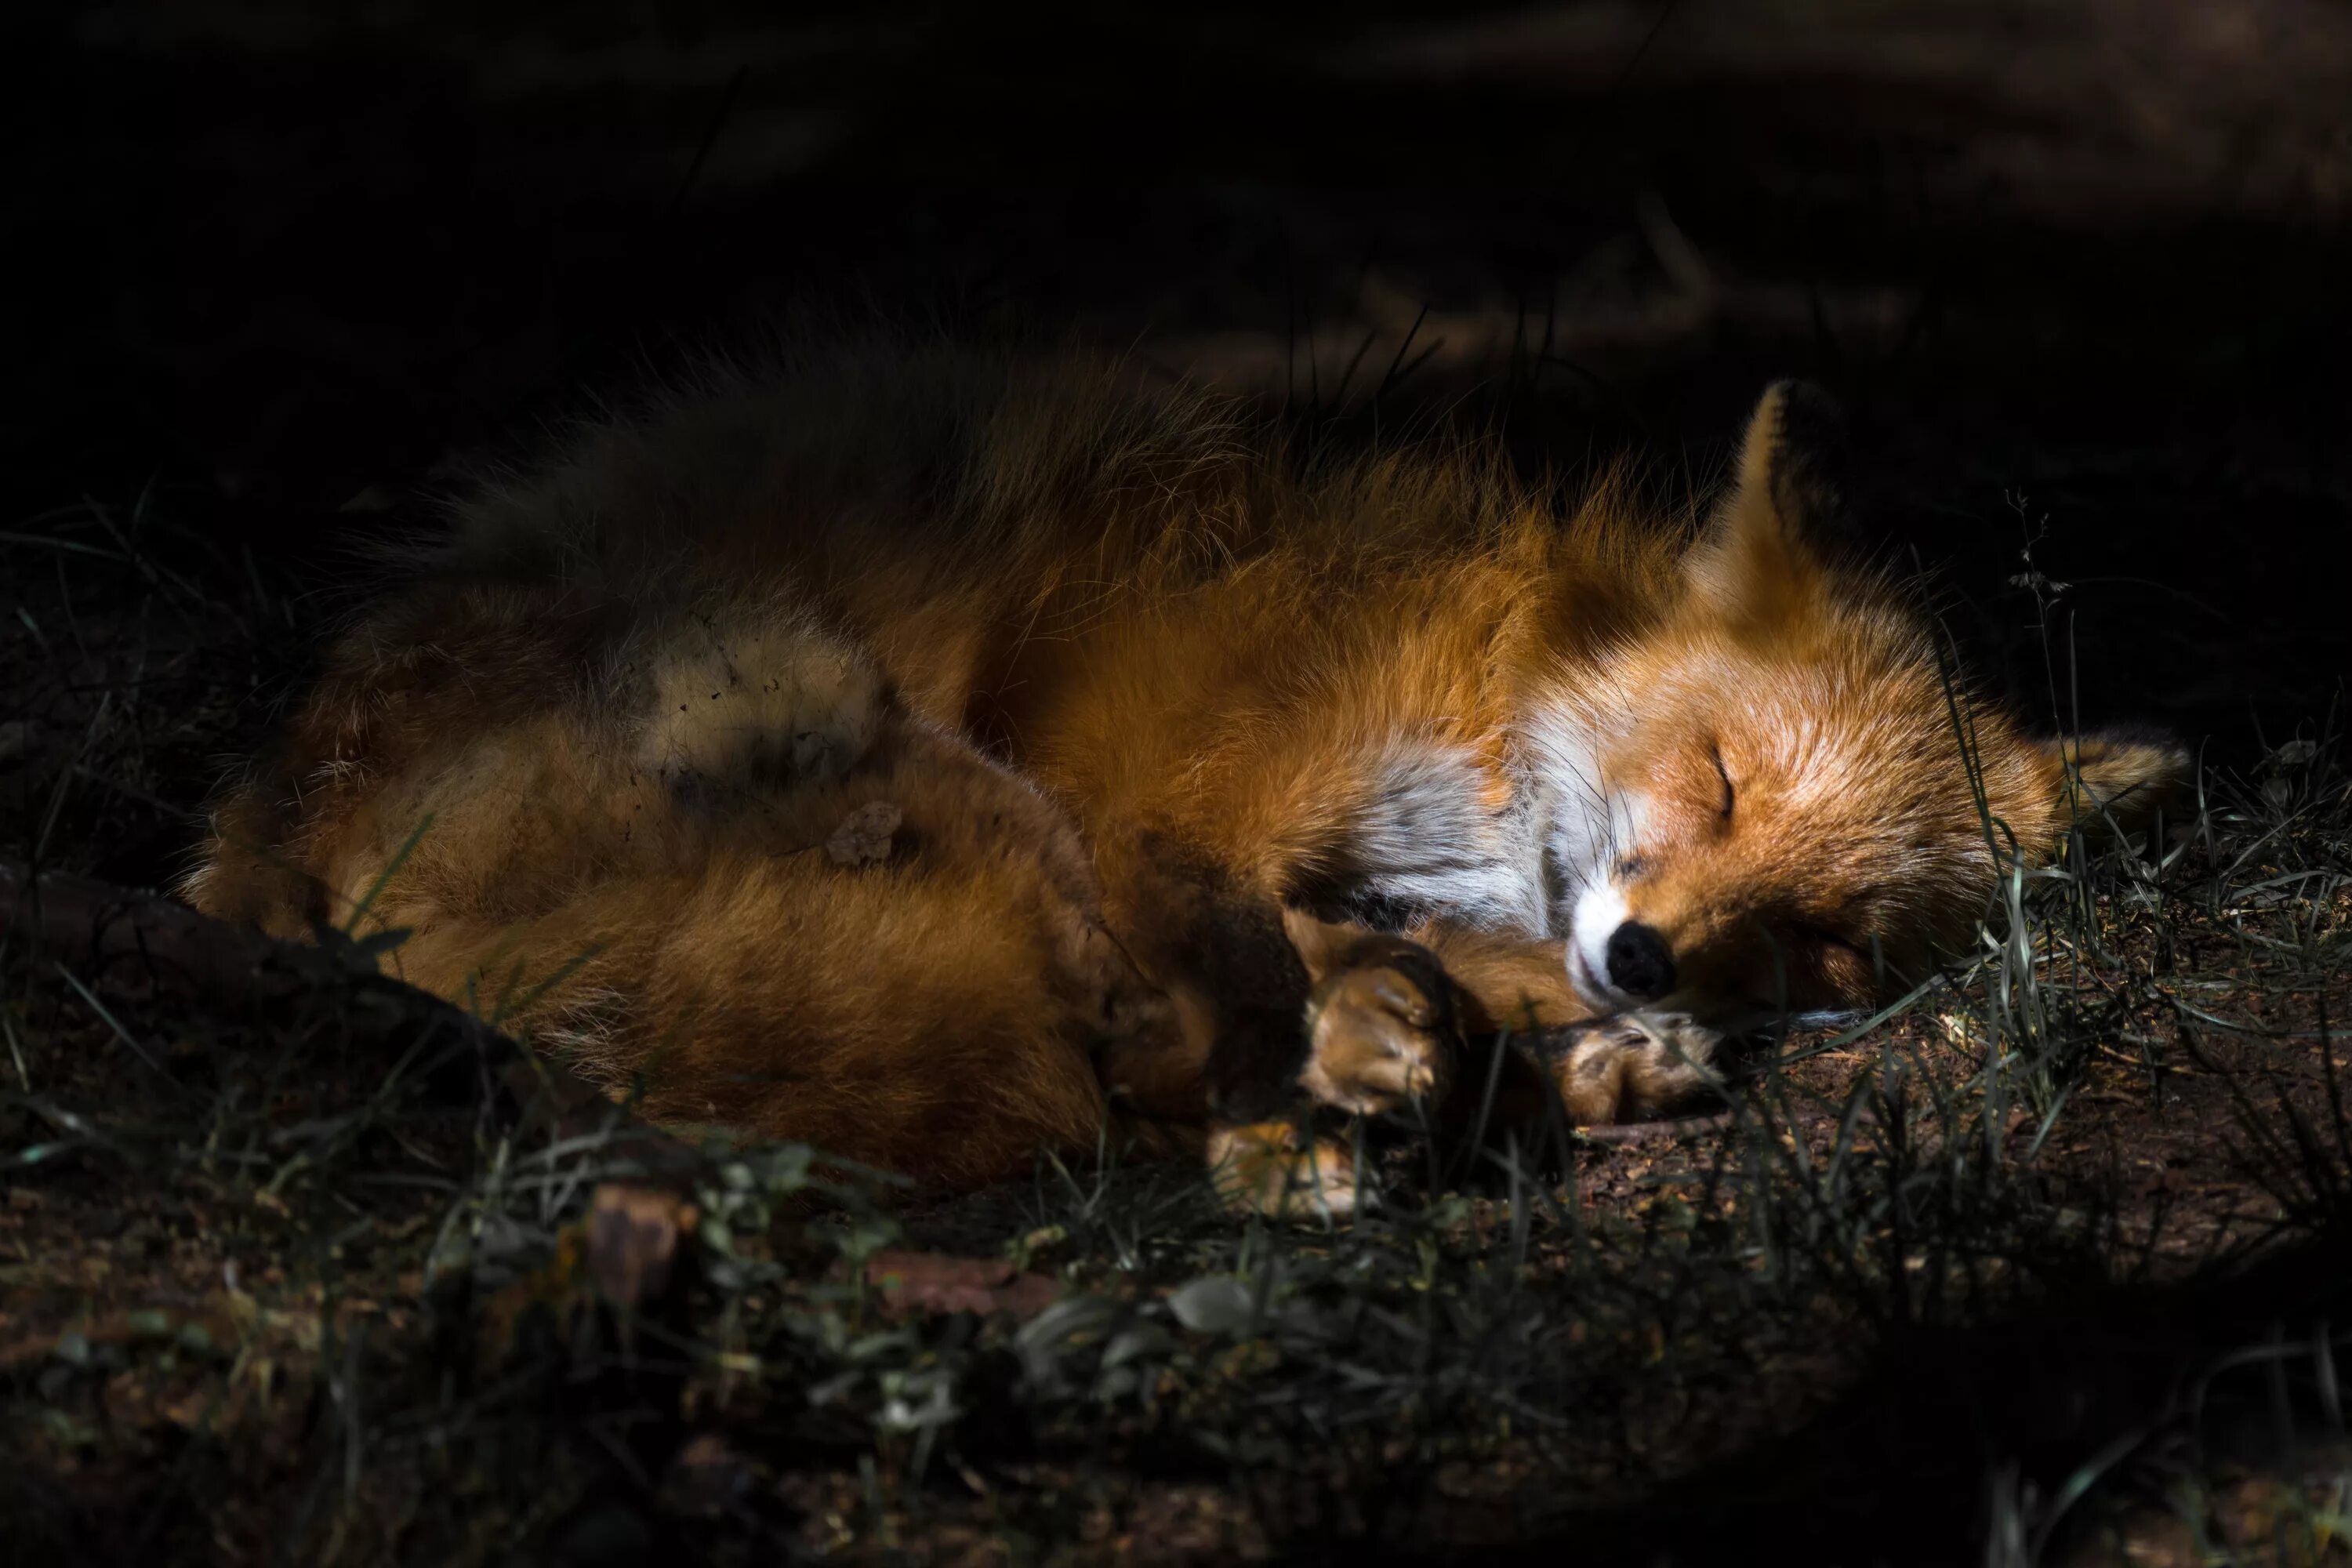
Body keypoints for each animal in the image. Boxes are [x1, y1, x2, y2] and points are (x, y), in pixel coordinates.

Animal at [183, 345, 2183, 1213]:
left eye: (1826, 934)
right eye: (1714, 780)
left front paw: (1498, 1051)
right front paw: (1338, 1096)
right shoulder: (1166, 796)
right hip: (954, 781)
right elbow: (1243, 975)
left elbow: (1384, 976)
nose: (1651, 957)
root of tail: (264, 839)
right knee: (1108, 1081)